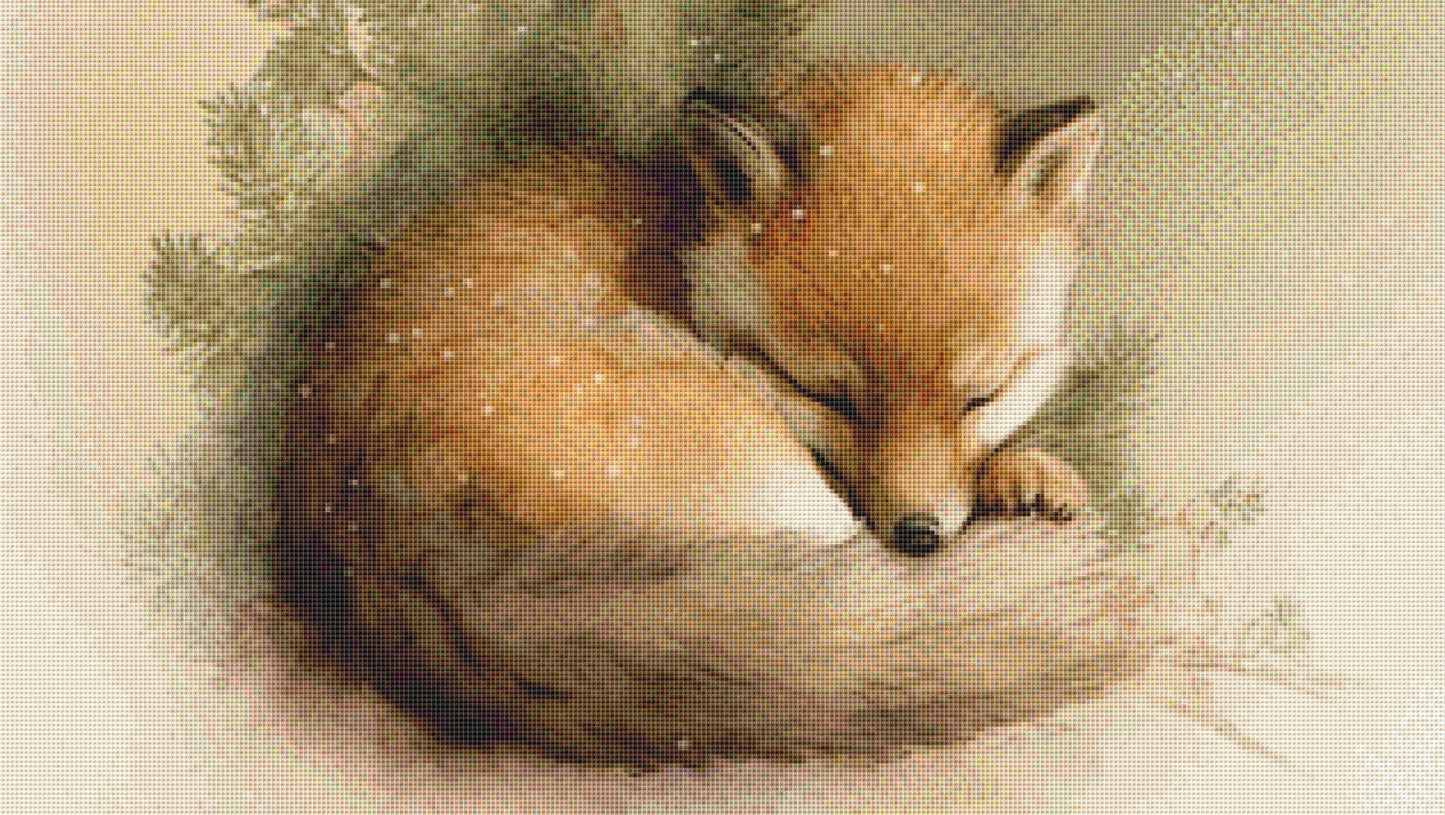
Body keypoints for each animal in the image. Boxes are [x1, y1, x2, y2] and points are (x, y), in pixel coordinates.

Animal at [274, 63, 1131, 763]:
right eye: (825, 394)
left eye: (980, 394)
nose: (919, 537)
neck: (681, 247)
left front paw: (1021, 474)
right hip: (763, 470)